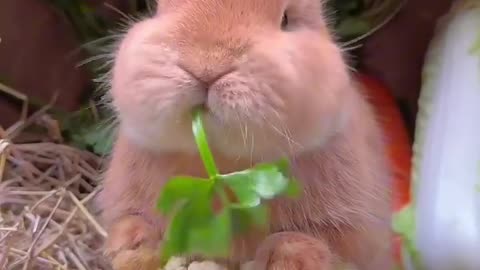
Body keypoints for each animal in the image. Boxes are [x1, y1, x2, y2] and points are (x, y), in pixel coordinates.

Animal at [98, 0, 394, 268]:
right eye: (157, 10)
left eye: (287, 19)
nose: (206, 66)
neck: (222, 165)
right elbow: (133, 223)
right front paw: (133, 247)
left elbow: (313, 244)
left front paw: (284, 258)